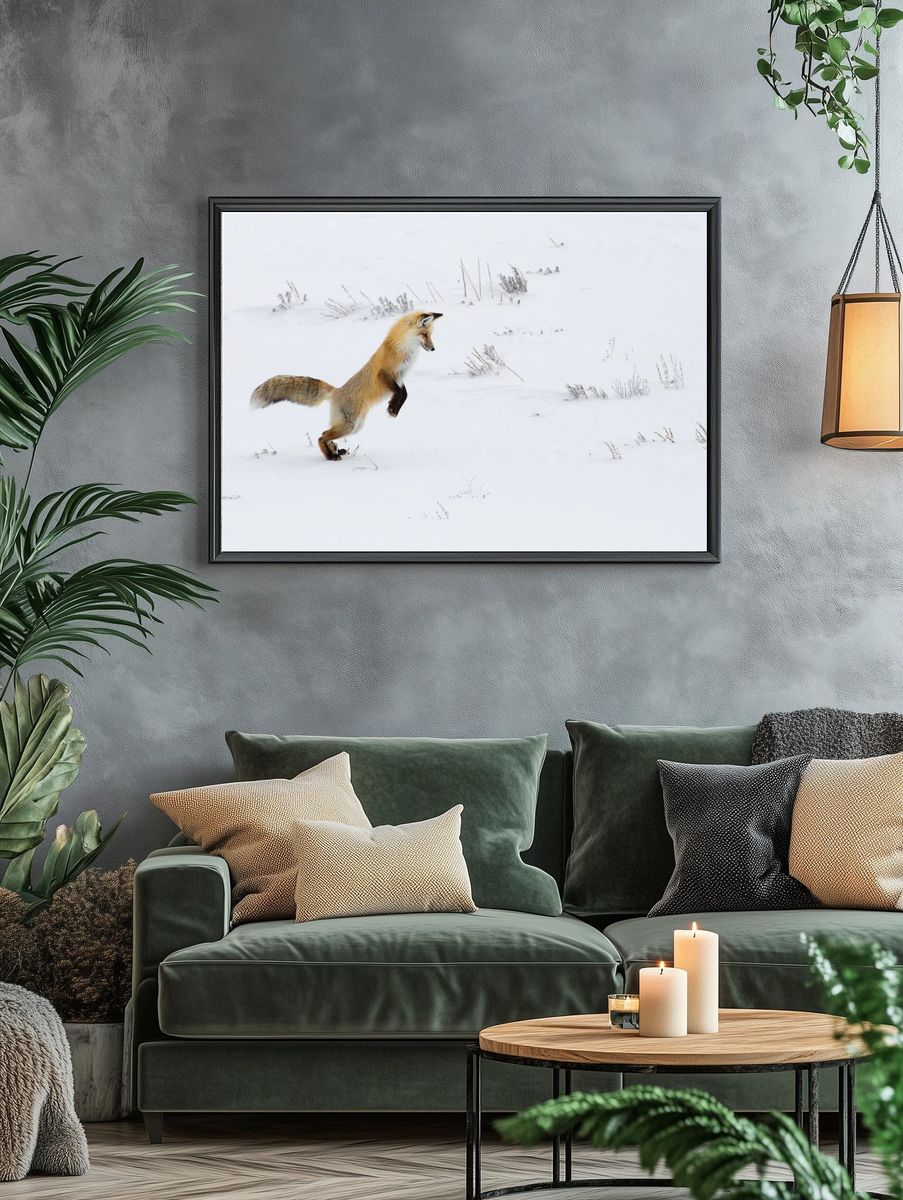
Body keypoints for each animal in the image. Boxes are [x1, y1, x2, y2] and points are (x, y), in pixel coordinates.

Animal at [250, 310, 442, 460]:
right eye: (424, 335)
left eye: (431, 335)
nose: (433, 349)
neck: (403, 350)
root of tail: (336, 391)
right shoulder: (385, 373)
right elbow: (399, 393)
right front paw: (392, 408)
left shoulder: (400, 378)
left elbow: (405, 394)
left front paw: (394, 407)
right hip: (349, 425)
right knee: (321, 436)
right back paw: (330, 456)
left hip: (355, 426)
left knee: (324, 435)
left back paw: (335, 451)